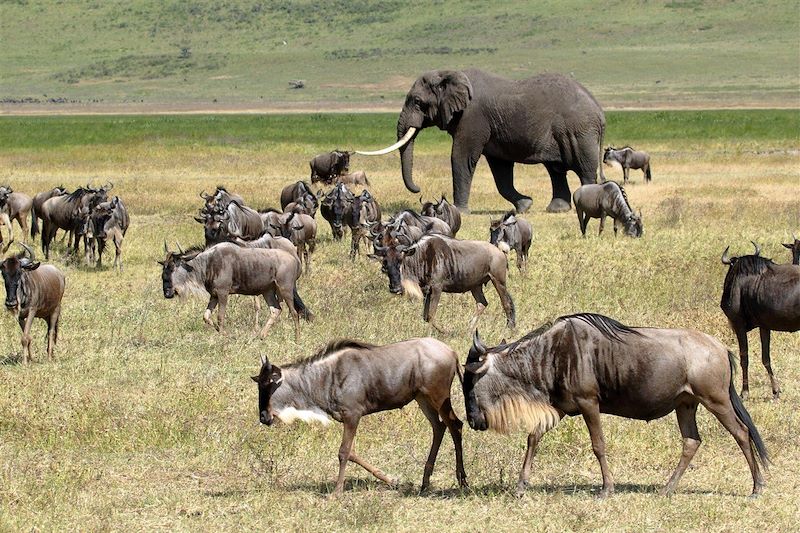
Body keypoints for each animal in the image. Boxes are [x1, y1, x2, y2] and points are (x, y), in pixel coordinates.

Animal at [358, 68, 608, 212]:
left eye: (418, 102)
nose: (418, 189)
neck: (450, 73)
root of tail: (600, 111)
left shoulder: (472, 118)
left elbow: (461, 157)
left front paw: (459, 211)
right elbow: (501, 171)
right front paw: (525, 205)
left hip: (580, 132)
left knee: (585, 169)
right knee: (556, 170)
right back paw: (556, 209)